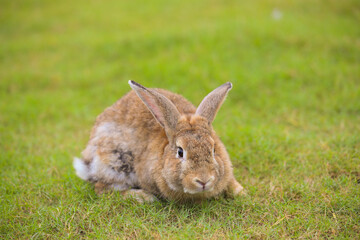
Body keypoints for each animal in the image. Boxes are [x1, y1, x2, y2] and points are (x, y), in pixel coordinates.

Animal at [74, 81, 246, 202]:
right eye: (180, 152)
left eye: (213, 149)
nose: (203, 180)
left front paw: (242, 193)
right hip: (117, 162)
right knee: (101, 188)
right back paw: (143, 197)